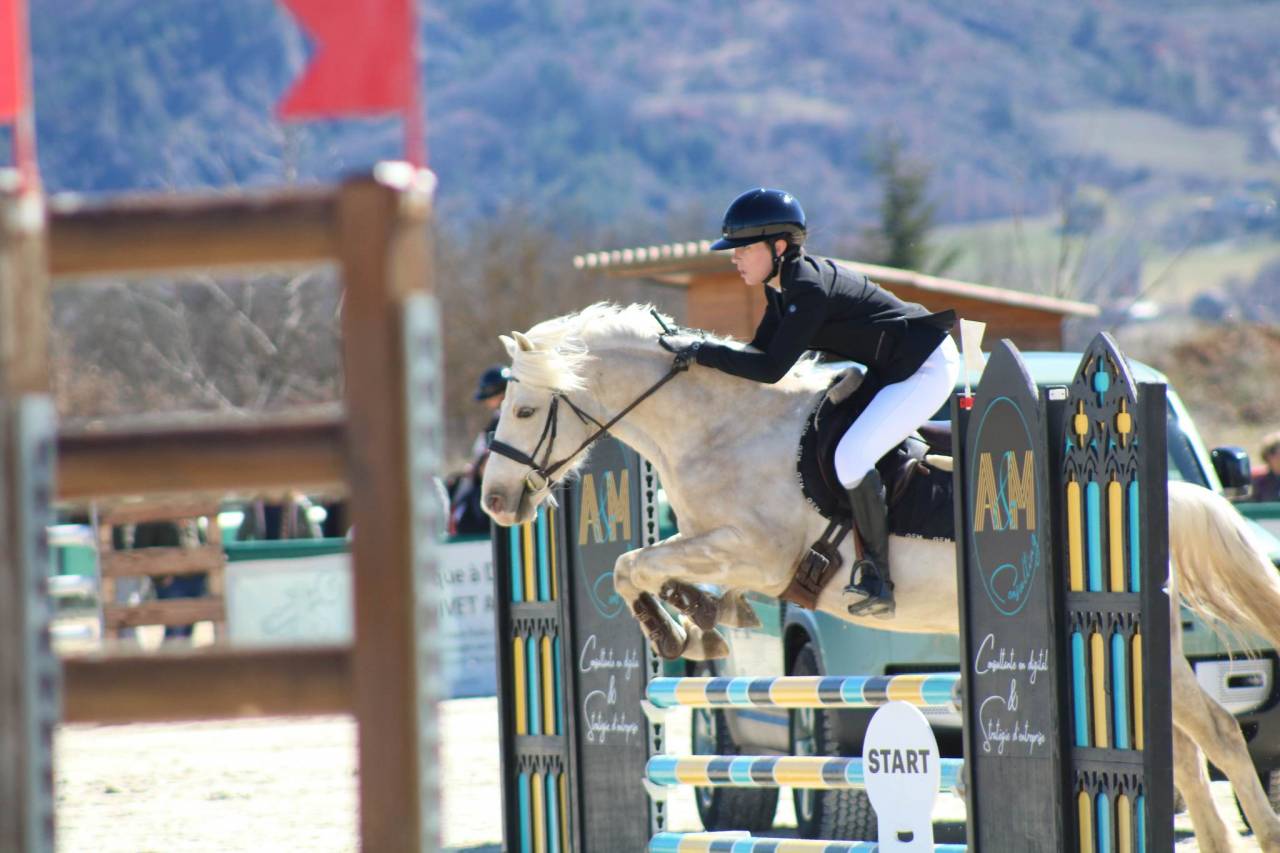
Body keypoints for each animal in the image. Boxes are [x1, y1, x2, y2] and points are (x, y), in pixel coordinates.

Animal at [480, 302, 1280, 852]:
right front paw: (699, 618)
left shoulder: (753, 549)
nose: (494, 500)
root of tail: (1164, 493)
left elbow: (633, 565)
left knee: (1215, 732)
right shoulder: (722, 547)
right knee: (1189, 749)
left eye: (524, 408)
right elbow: (647, 567)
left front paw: (675, 626)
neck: (720, 428)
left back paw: (1263, 832)